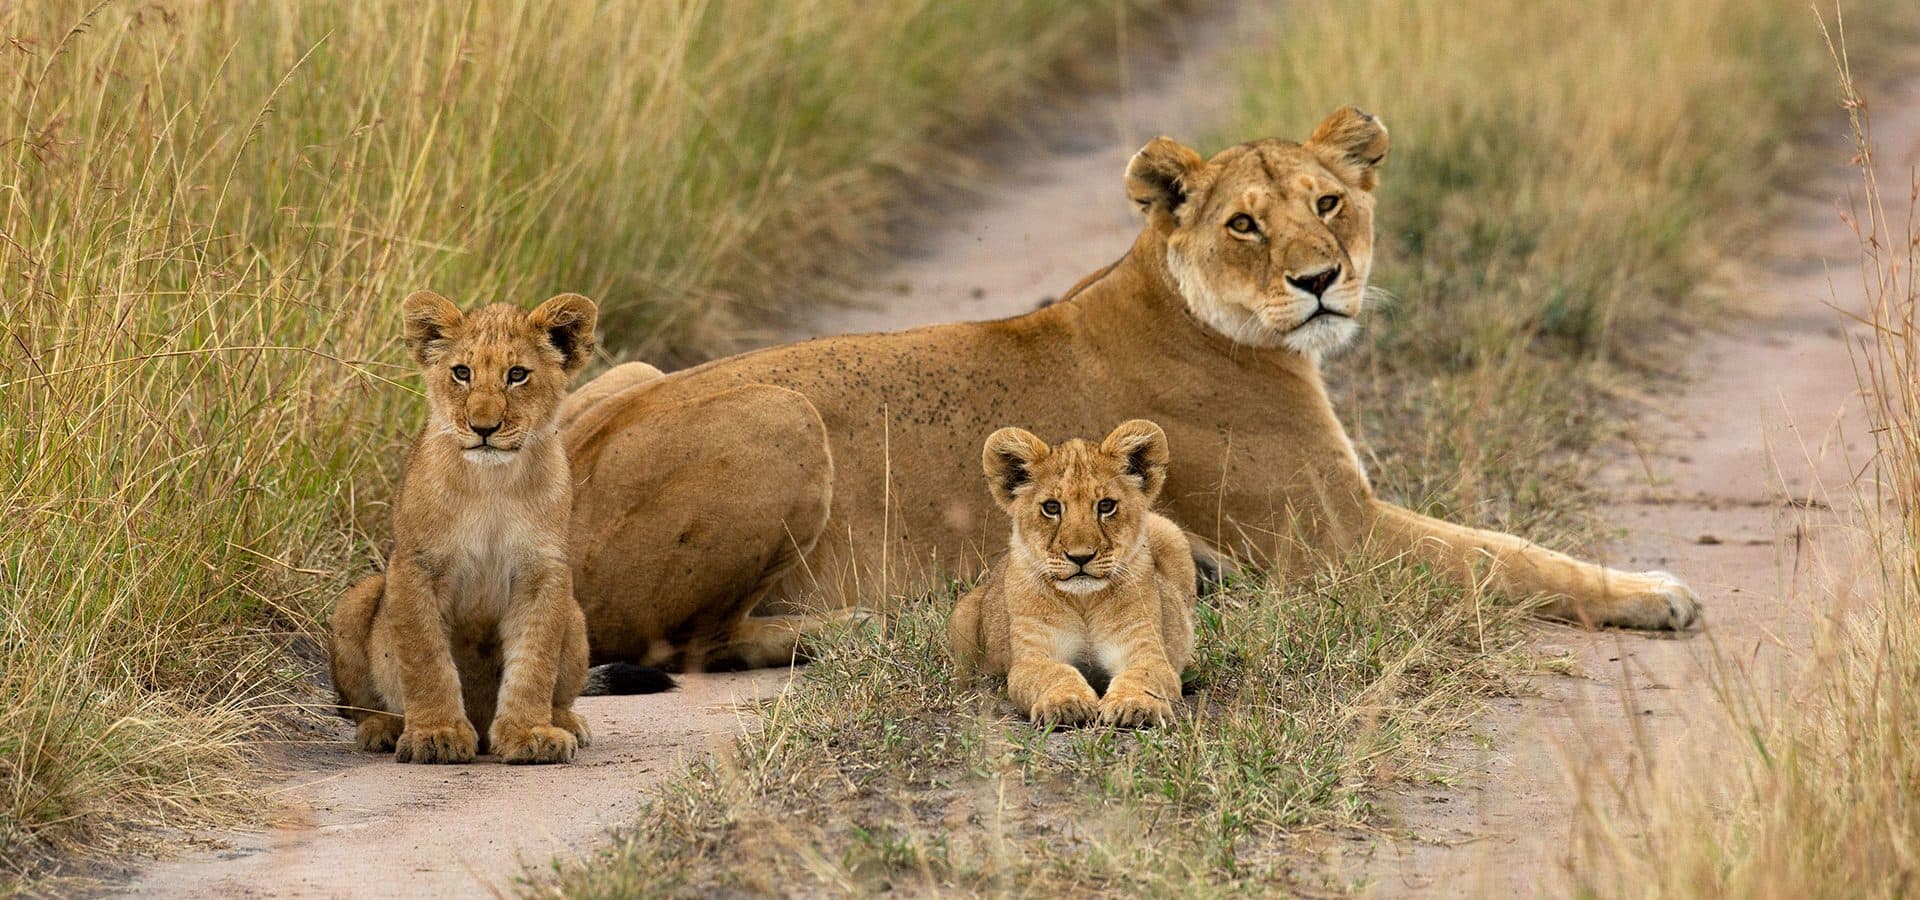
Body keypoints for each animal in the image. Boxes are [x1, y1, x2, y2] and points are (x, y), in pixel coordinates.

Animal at [329, 291, 673, 765]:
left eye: (517, 375)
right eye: (461, 372)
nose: (484, 427)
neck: (491, 484)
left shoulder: (543, 572)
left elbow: (533, 661)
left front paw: (530, 734)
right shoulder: (416, 566)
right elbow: (425, 658)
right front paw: (436, 735)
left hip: (575, 615)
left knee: (562, 690)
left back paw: (565, 722)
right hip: (358, 599)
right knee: (359, 706)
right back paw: (384, 728)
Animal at [559, 106, 1699, 671]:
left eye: (1329, 202)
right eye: (1245, 223)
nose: (1319, 280)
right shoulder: (1335, 542)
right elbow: (1506, 555)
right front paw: (1656, 592)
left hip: (626, 372)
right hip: (783, 411)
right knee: (686, 642)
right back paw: (867, 628)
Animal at [949, 420, 1197, 727]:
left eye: (1106, 505)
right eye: (1052, 507)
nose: (1080, 557)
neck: (1083, 601)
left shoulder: (1145, 649)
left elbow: (1145, 675)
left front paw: (1133, 704)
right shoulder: (1033, 656)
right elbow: (1053, 673)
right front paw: (1065, 702)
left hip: (1168, 530)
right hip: (962, 619)